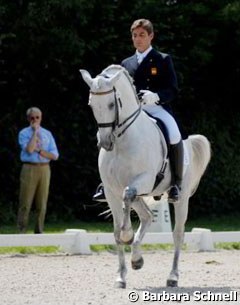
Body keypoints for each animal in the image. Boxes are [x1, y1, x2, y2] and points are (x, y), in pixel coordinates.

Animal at [80, 63, 210, 288]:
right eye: (91, 105)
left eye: (112, 104)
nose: (105, 142)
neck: (122, 142)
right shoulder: (111, 192)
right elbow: (116, 231)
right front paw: (121, 276)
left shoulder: (142, 181)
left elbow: (126, 200)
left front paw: (127, 235)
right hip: (140, 196)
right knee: (147, 216)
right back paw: (137, 259)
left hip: (181, 198)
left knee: (178, 234)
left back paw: (172, 277)